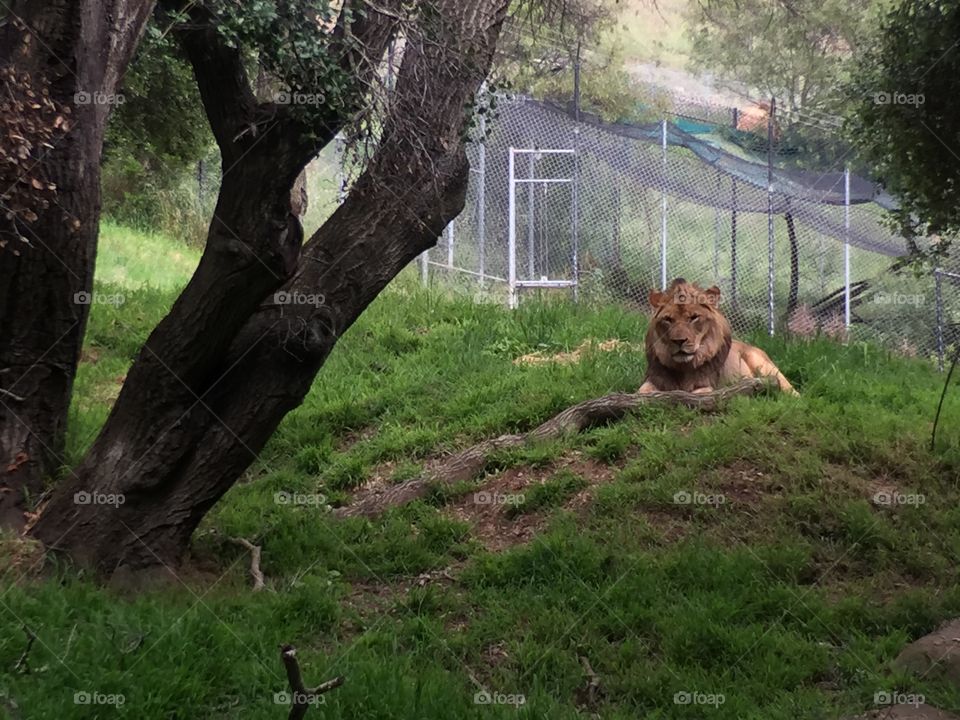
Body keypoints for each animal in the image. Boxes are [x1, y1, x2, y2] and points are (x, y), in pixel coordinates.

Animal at [637, 278, 797, 395]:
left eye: (694, 318)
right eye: (668, 320)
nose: (679, 341)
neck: (683, 368)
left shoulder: (710, 386)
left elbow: (696, 394)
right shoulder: (653, 380)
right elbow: (641, 392)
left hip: (765, 366)